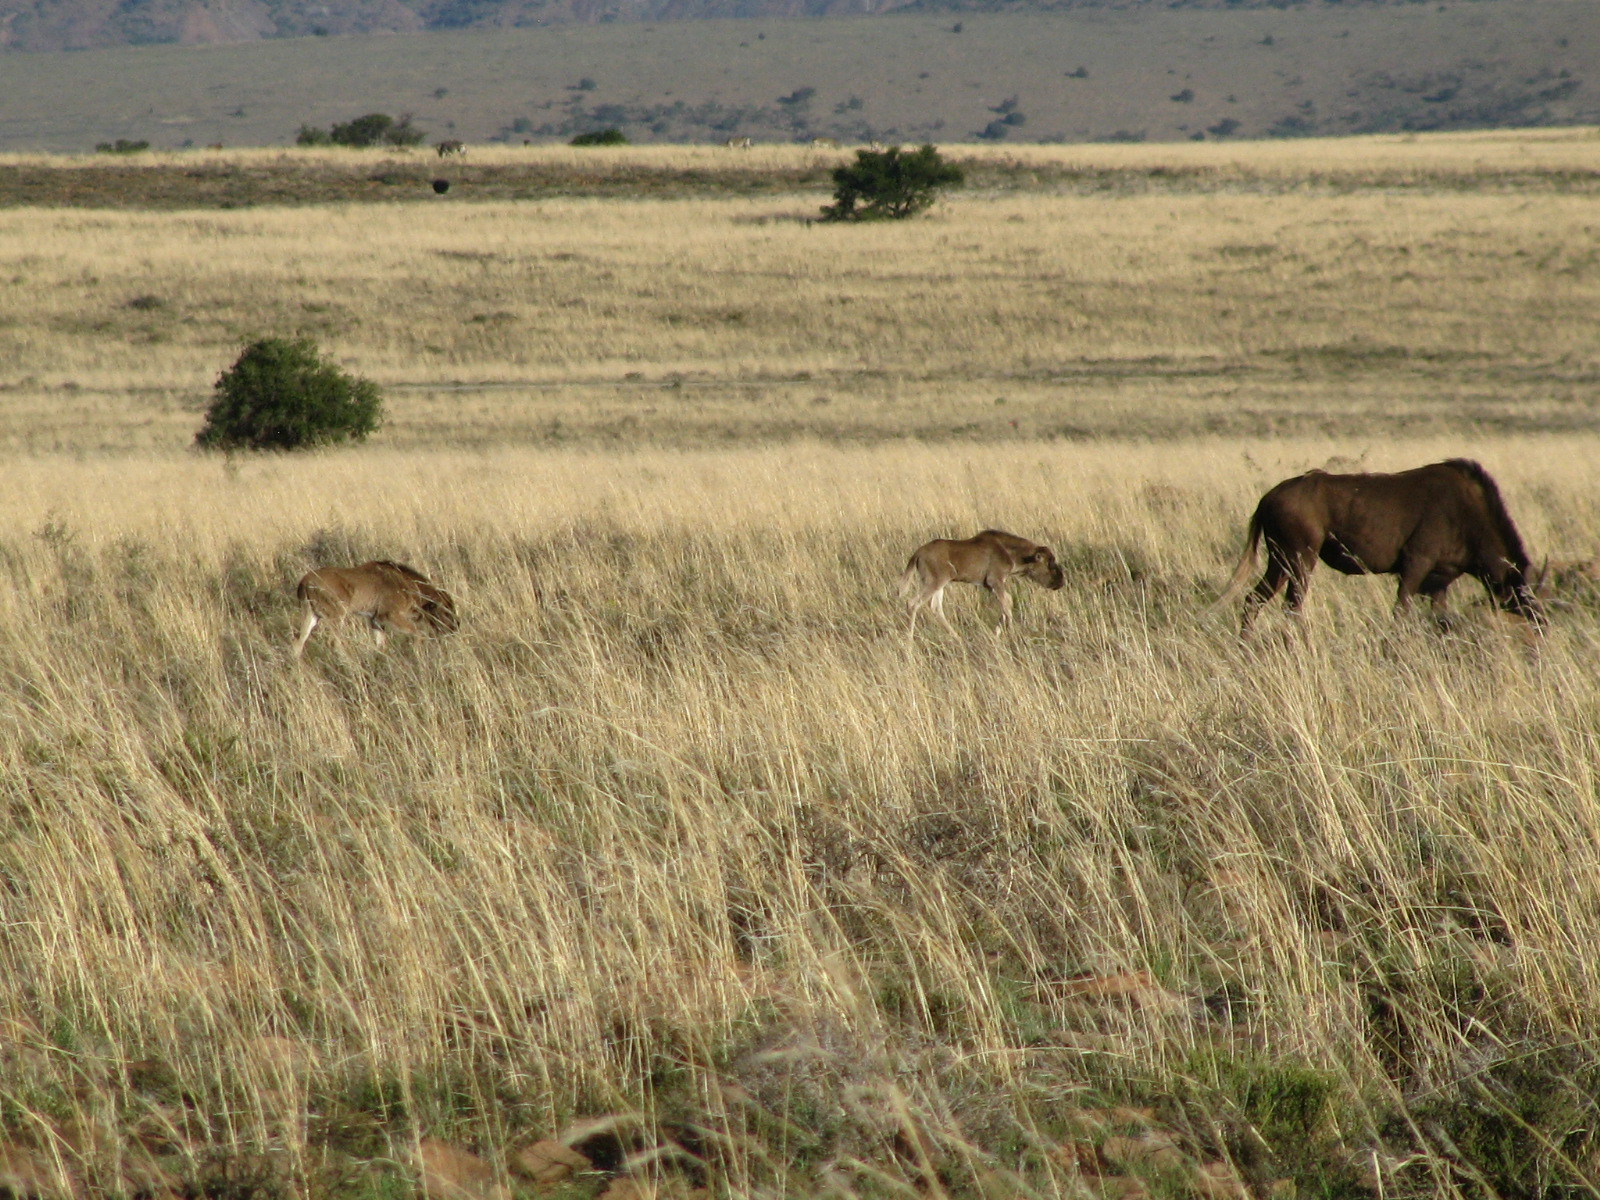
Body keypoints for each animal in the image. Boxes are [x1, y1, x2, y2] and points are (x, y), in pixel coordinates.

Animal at [902, 531, 1062, 633]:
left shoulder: (989, 585)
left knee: (935, 607)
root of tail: (917, 554)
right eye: (1050, 564)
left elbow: (1007, 602)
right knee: (912, 603)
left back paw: (957, 638)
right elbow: (1007, 604)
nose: (1060, 583)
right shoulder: (995, 581)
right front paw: (1012, 634)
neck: (1010, 552)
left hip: (940, 583)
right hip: (935, 582)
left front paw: (997, 633)